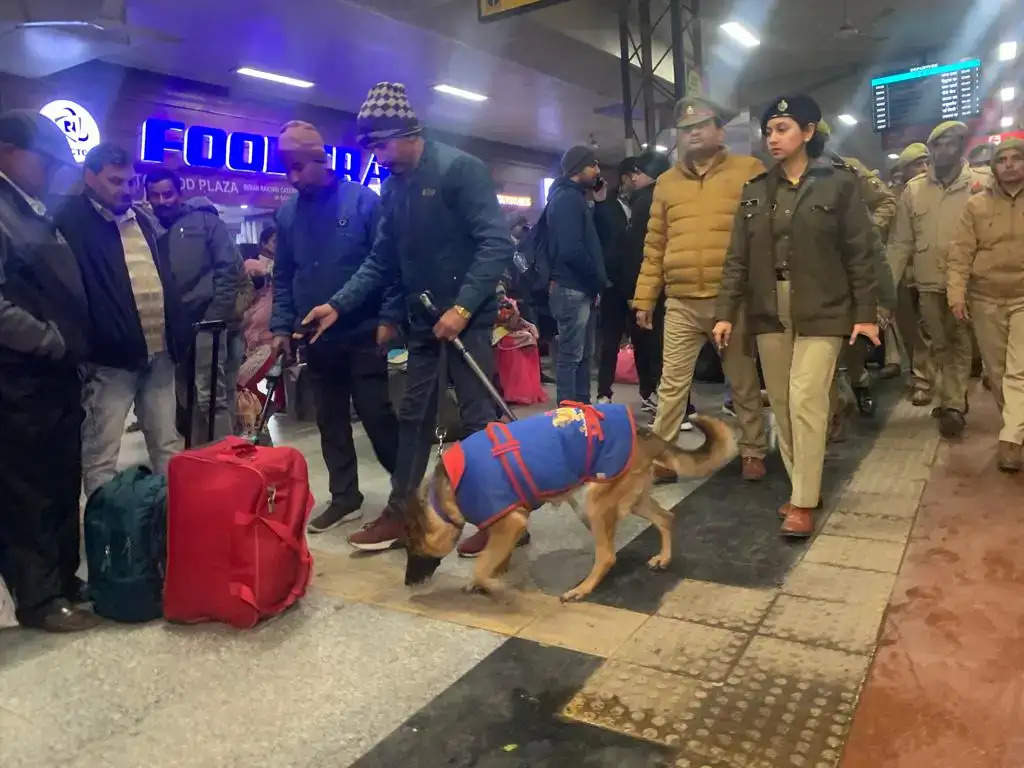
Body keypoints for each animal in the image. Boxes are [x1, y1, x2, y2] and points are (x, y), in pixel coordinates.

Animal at [405, 405, 737, 606]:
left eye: (413, 550)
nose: (408, 583)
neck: (444, 492)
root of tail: (645, 433)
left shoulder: (511, 523)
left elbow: (482, 566)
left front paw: (494, 586)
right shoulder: (509, 524)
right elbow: (492, 559)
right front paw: (493, 577)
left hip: (593, 505)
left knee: (607, 556)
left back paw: (582, 589)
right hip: (629, 500)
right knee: (665, 517)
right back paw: (663, 558)